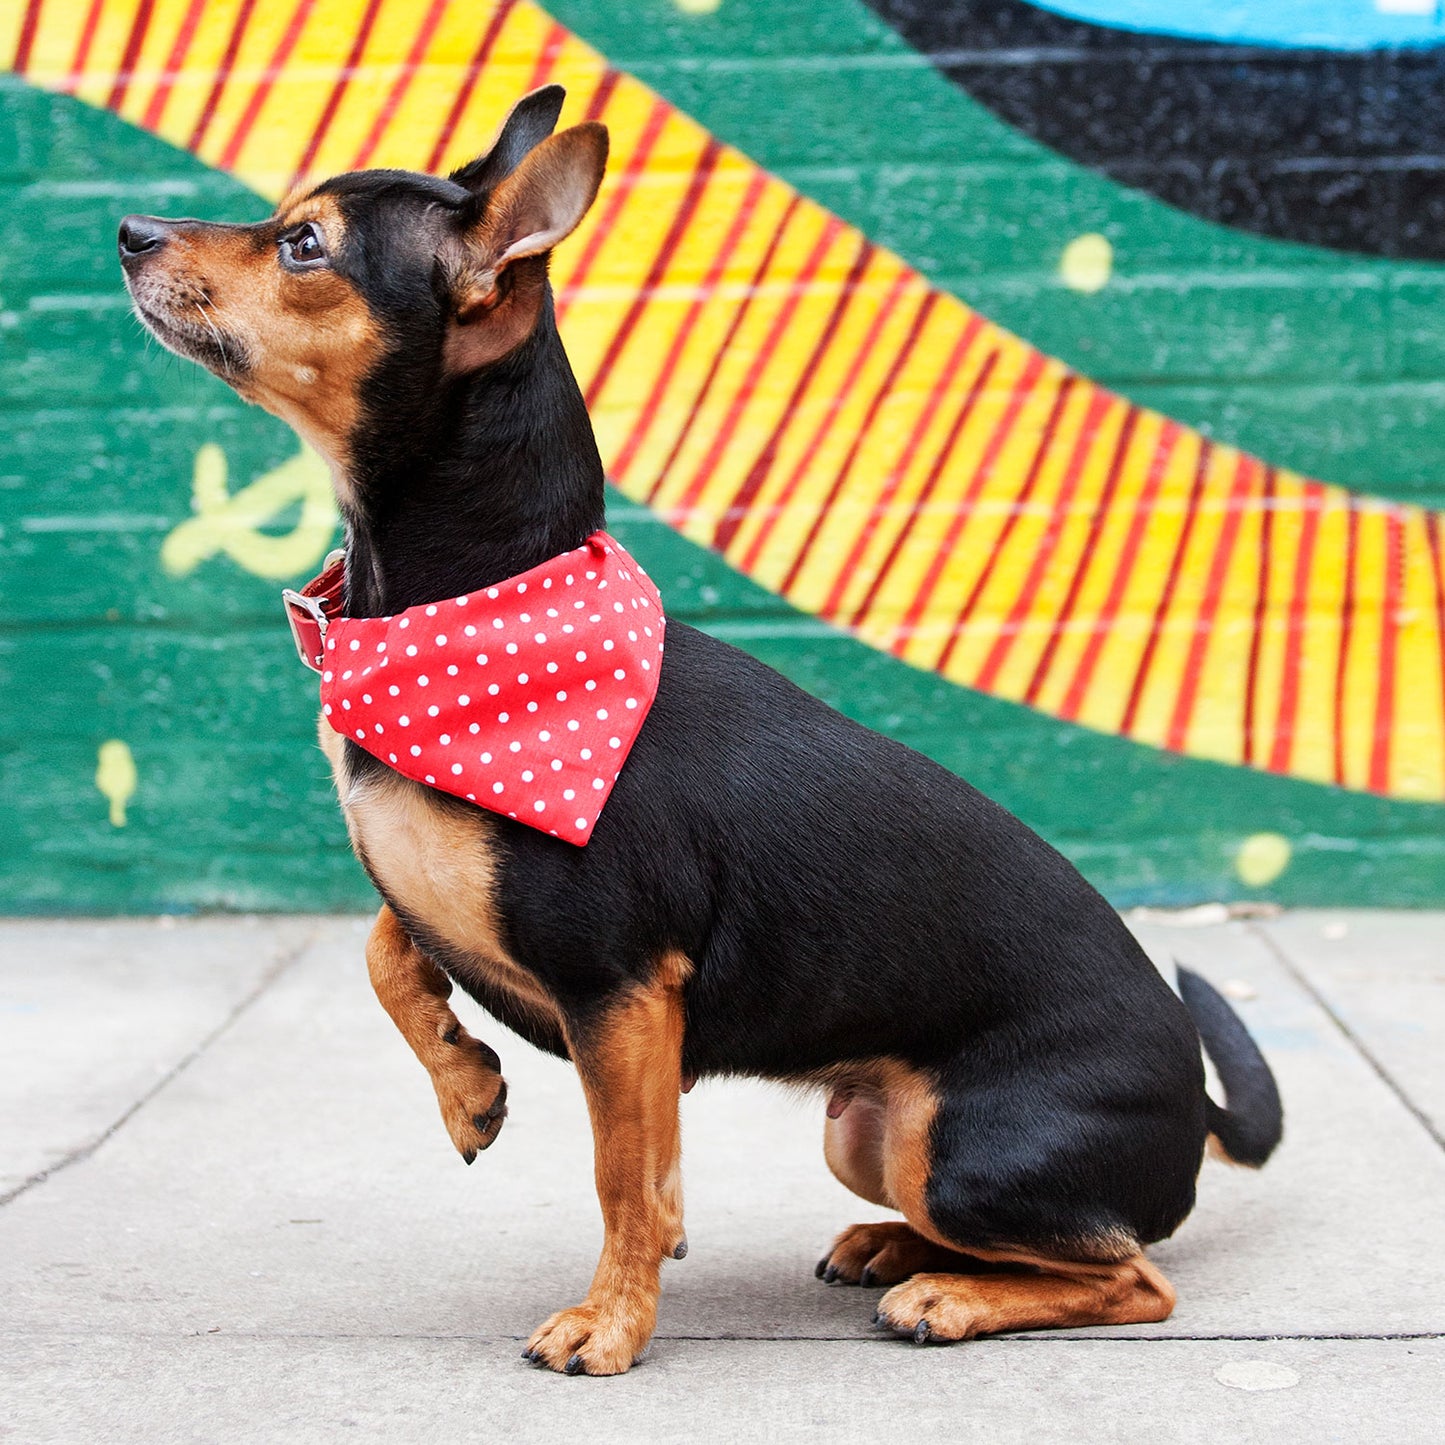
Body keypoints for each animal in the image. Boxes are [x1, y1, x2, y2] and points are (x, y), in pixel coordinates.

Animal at [121, 82, 1277, 1375]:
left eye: (303, 246)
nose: (127, 232)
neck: (467, 611)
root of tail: (1193, 1094)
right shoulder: (497, 928)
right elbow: (385, 942)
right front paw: (466, 1083)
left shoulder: (619, 990)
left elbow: (627, 1176)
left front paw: (609, 1322)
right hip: (861, 1132)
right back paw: (896, 1249)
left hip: (957, 1145)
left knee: (1133, 1272)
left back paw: (949, 1293)